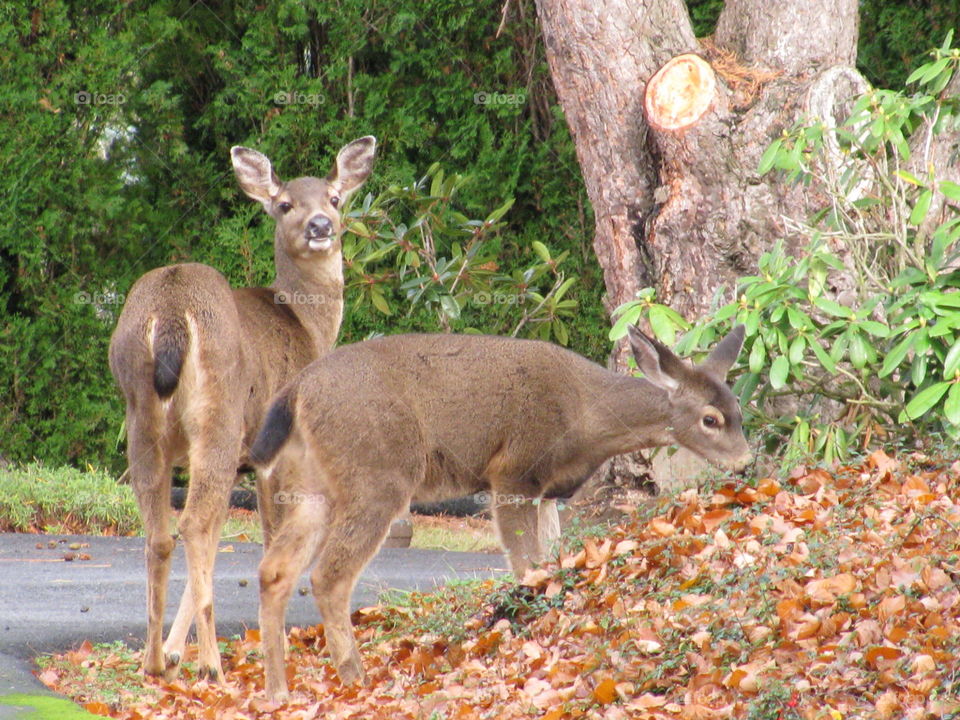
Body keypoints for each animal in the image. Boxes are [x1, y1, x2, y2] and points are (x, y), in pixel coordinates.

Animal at [107, 135, 377, 685]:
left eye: (334, 198)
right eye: (285, 205)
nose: (321, 226)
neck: (307, 324)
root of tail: (172, 314)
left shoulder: (239, 461)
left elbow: (216, 541)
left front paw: (174, 650)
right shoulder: (271, 452)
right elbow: (267, 535)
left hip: (141, 416)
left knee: (161, 533)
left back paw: (153, 661)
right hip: (220, 414)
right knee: (190, 525)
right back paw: (211, 665)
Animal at [249, 324, 752, 701]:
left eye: (738, 410)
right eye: (710, 419)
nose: (746, 462)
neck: (587, 417)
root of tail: (296, 390)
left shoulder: (548, 492)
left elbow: (549, 564)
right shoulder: (514, 473)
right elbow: (526, 567)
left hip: (310, 486)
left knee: (275, 570)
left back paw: (279, 692)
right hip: (377, 475)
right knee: (328, 575)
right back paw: (356, 679)